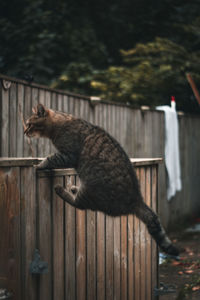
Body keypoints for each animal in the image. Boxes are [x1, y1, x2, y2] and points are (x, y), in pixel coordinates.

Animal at [25, 103, 180, 255]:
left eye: (30, 124)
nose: (24, 131)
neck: (59, 124)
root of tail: (137, 200)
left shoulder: (68, 155)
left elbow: (50, 158)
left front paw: (39, 165)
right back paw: (74, 188)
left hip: (91, 189)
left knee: (78, 204)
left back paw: (61, 190)